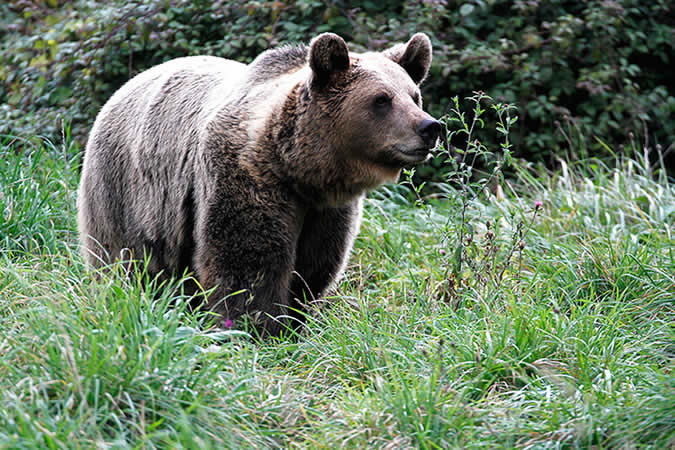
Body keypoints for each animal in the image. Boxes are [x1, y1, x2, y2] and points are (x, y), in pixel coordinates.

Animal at [77, 32, 441, 336]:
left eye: (414, 96)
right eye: (381, 99)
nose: (430, 127)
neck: (300, 170)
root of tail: (125, 87)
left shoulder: (328, 210)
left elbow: (315, 264)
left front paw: (297, 318)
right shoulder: (247, 177)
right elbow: (249, 263)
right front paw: (258, 327)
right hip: (124, 191)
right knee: (123, 259)